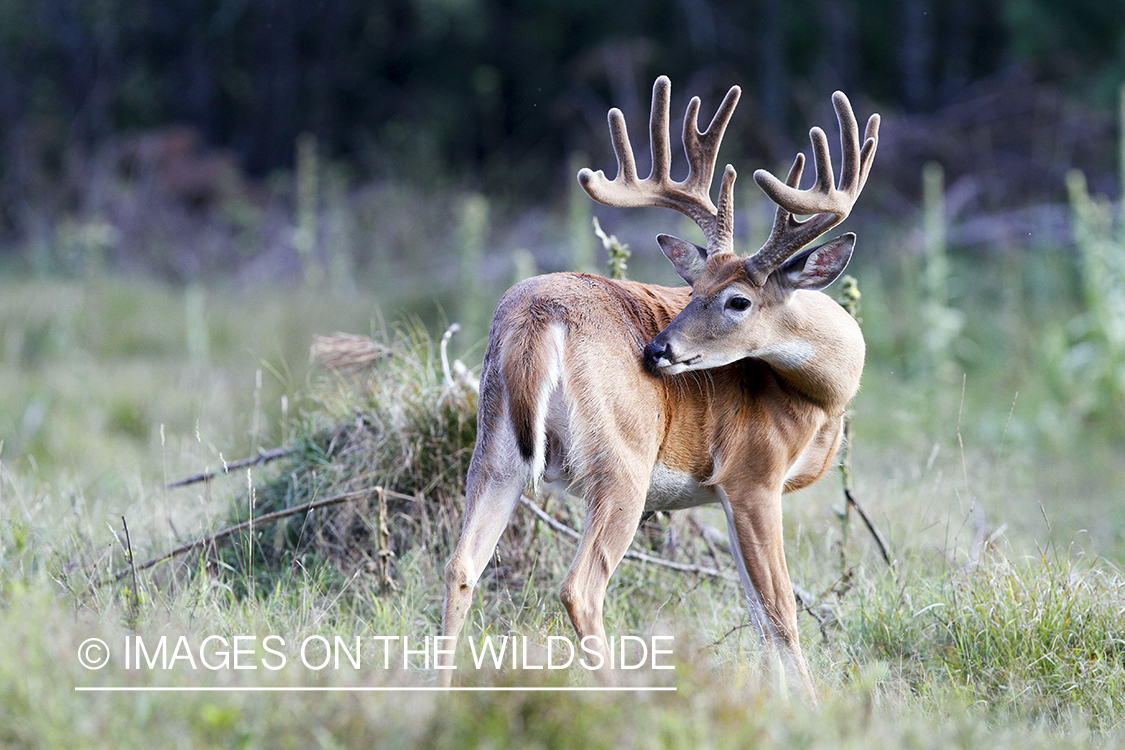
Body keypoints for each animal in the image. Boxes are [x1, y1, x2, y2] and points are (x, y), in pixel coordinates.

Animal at [438, 76, 877, 697]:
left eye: (734, 299)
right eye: (692, 290)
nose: (656, 350)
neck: (824, 394)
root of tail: (537, 316)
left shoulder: (724, 493)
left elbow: (757, 617)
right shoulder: (752, 473)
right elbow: (781, 614)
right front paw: (810, 708)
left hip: (494, 447)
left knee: (461, 567)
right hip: (623, 459)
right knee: (580, 588)